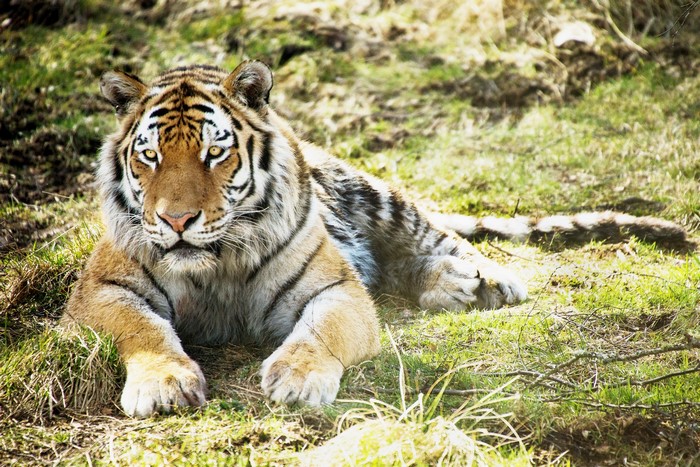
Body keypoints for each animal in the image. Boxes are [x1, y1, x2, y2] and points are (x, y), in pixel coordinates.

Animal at [61, 61, 688, 418]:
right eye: (150, 156)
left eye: (215, 152)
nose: (176, 221)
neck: (214, 262)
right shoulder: (101, 289)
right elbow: (142, 327)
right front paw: (165, 385)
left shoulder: (335, 286)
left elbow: (321, 331)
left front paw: (297, 379)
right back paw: (452, 287)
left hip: (374, 193)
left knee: (435, 234)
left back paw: (483, 280)